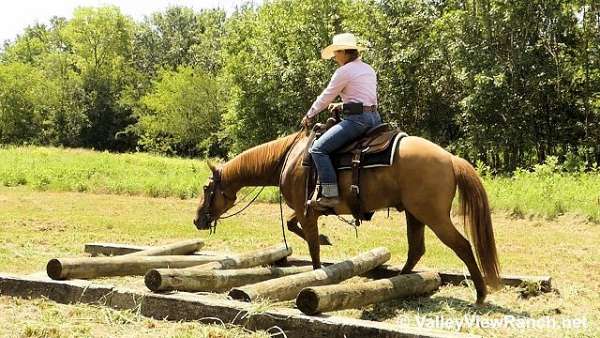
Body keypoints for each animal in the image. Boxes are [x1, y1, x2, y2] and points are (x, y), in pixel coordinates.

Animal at [193, 127, 502, 304]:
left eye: (207, 188)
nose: (197, 219)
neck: (287, 158)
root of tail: (450, 158)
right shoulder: (308, 208)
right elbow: (294, 227)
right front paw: (327, 239)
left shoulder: (306, 210)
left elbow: (313, 248)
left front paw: (317, 273)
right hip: (415, 214)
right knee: (416, 249)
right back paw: (400, 282)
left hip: (433, 216)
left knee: (462, 246)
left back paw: (480, 294)